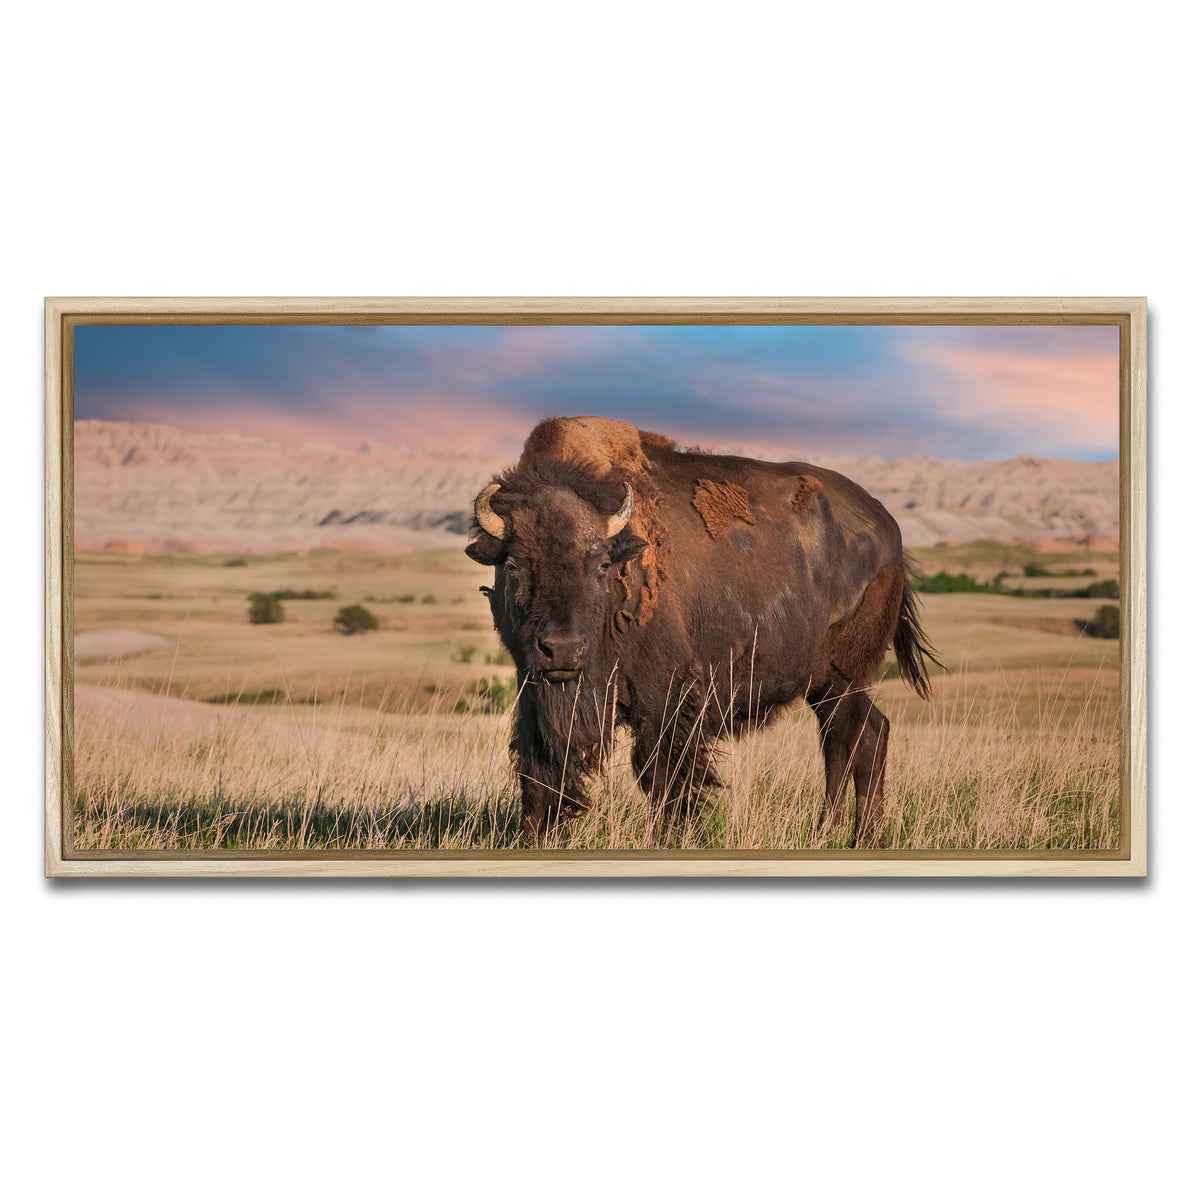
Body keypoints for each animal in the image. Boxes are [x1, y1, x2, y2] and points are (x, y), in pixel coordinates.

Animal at [465, 415, 940, 849]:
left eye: (601, 564)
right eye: (513, 565)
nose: (562, 650)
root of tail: (891, 532)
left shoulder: (666, 698)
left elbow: (664, 777)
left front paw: (674, 838)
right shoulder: (533, 692)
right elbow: (538, 772)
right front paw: (533, 841)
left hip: (842, 679)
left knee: (852, 739)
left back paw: (857, 836)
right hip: (826, 686)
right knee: (861, 737)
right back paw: (840, 835)